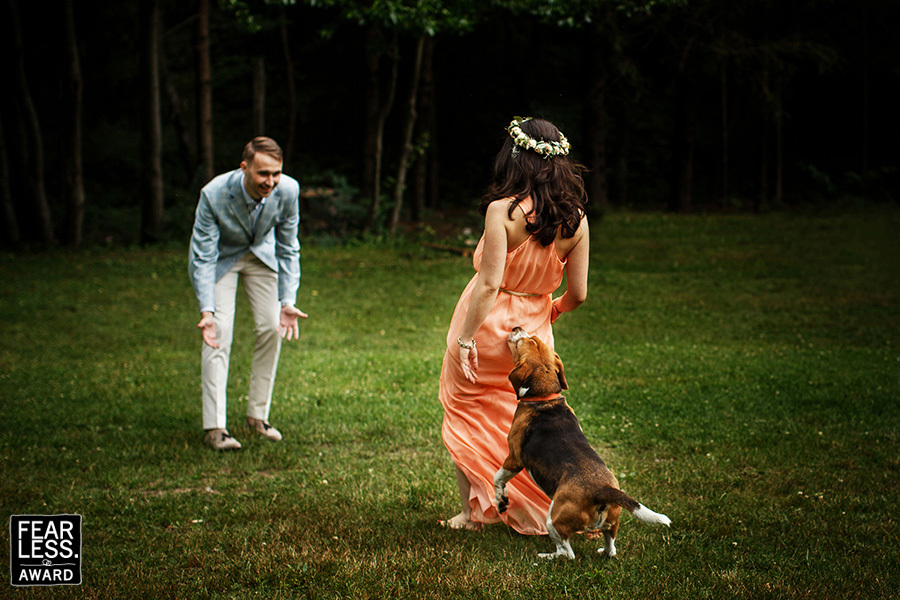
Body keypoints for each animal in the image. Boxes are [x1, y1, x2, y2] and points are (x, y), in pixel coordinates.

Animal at [492, 328, 668, 556]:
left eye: (524, 341)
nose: (516, 329)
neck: (545, 398)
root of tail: (602, 491)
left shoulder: (514, 458)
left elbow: (497, 478)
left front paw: (501, 502)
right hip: (612, 522)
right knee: (611, 548)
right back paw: (603, 551)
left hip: (554, 520)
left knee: (567, 554)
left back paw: (548, 556)